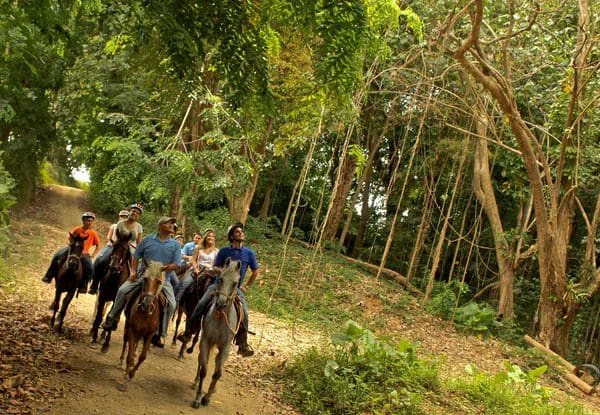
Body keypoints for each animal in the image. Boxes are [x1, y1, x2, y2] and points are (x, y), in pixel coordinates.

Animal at [117, 262, 165, 392]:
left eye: (159, 281)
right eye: (145, 279)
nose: (147, 303)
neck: (145, 313)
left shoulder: (149, 334)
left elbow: (143, 356)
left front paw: (132, 373)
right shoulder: (133, 330)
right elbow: (129, 354)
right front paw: (124, 379)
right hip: (128, 327)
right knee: (126, 341)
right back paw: (121, 360)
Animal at [190, 258, 241, 408]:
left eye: (235, 282)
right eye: (221, 279)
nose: (221, 304)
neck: (220, 318)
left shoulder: (225, 347)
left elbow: (217, 373)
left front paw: (207, 398)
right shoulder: (206, 341)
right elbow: (204, 370)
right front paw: (198, 398)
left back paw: (212, 390)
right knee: (201, 361)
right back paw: (195, 383)